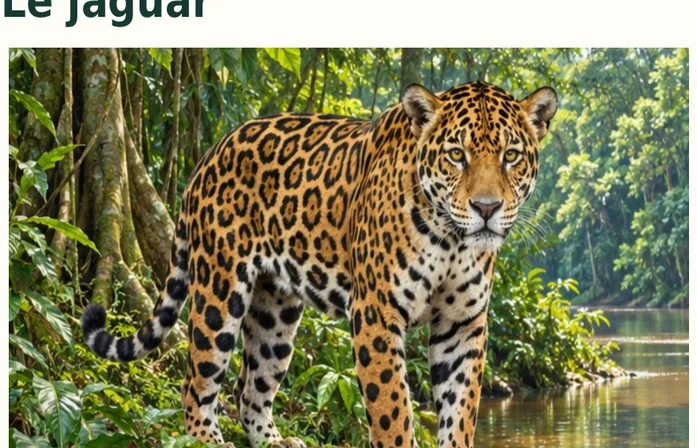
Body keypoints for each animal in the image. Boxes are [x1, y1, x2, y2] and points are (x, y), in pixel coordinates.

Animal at [82, 80, 557, 448]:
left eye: (511, 156)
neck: (452, 241)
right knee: (196, 381)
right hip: (219, 291)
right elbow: (392, 410)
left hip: (275, 312)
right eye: (456, 155)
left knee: (249, 388)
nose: (486, 208)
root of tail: (210, 153)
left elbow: (460, 411)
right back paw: (207, 439)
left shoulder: (462, 325)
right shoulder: (376, 313)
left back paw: (275, 441)